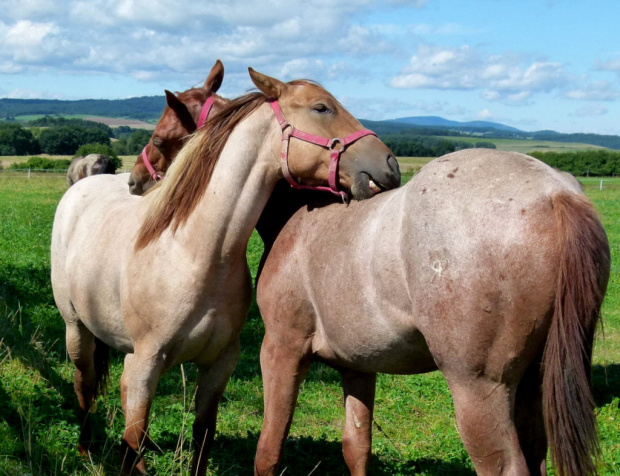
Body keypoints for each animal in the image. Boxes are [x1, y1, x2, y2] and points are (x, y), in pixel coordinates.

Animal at [253, 150, 612, 476]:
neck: (298, 219)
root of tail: (554, 192)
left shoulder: (282, 349)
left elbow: (269, 448)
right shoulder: (358, 367)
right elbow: (356, 447)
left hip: (479, 390)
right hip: (533, 379)